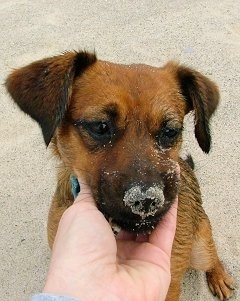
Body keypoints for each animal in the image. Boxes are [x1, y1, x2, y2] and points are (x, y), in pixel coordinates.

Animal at [5, 50, 234, 298]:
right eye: (100, 126)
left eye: (170, 131)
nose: (146, 200)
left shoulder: (170, 285)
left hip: (199, 248)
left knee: (212, 256)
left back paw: (219, 277)